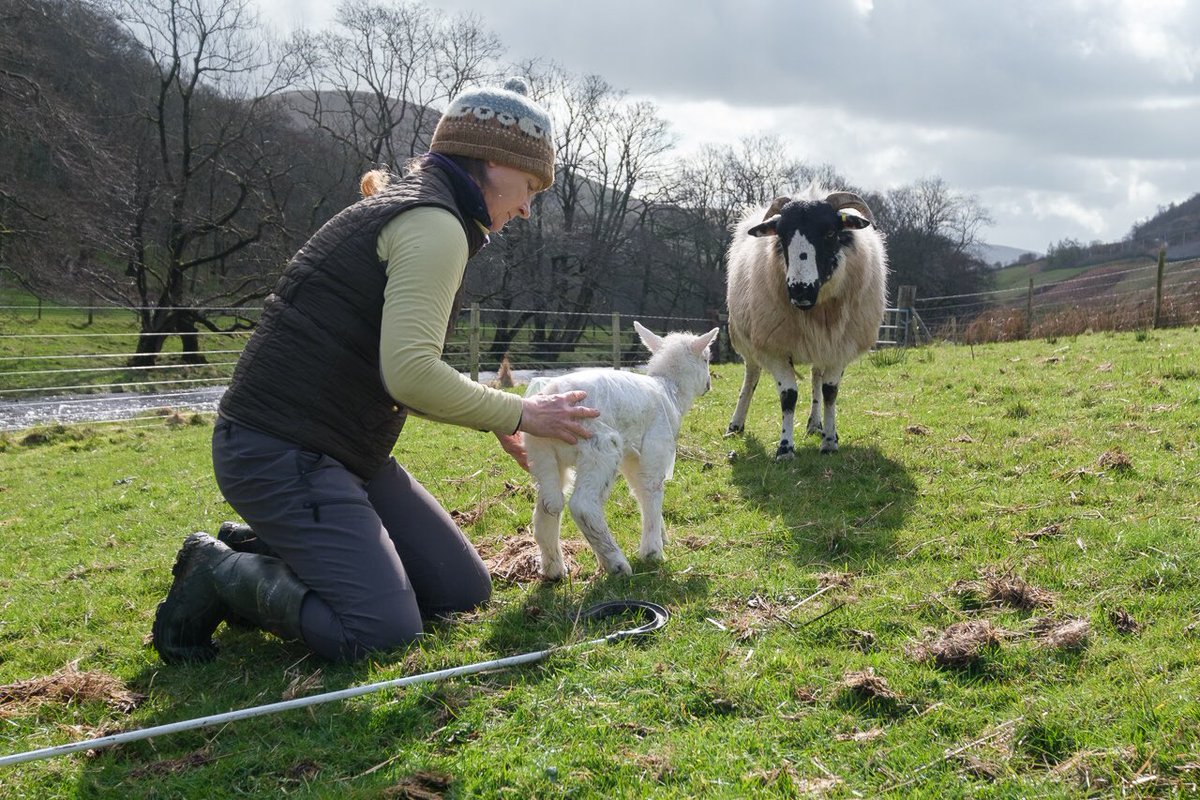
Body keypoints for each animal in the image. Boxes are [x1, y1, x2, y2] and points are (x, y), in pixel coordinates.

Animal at [524, 321, 720, 579]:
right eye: (706, 359)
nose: (709, 385)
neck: (670, 390)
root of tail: (550, 391)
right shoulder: (656, 446)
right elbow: (651, 489)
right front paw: (652, 552)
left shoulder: (632, 456)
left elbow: (640, 492)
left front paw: (661, 535)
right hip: (600, 446)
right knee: (583, 506)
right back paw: (616, 564)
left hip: (542, 454)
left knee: (548, 507)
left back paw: (554, 569)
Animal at [724, 188, 887, 459]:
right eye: (781, 235)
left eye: (830, 232)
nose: (800, 289)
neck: (815, 311)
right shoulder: (774, 348)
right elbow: (788, 396)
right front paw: (785, 448)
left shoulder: (838, 347)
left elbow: (830, 392)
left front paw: (830, 441)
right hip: (745, 339)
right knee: (751, 376)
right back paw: (735, 425)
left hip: (822, 346)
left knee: (816, 377)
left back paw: (815, 424)